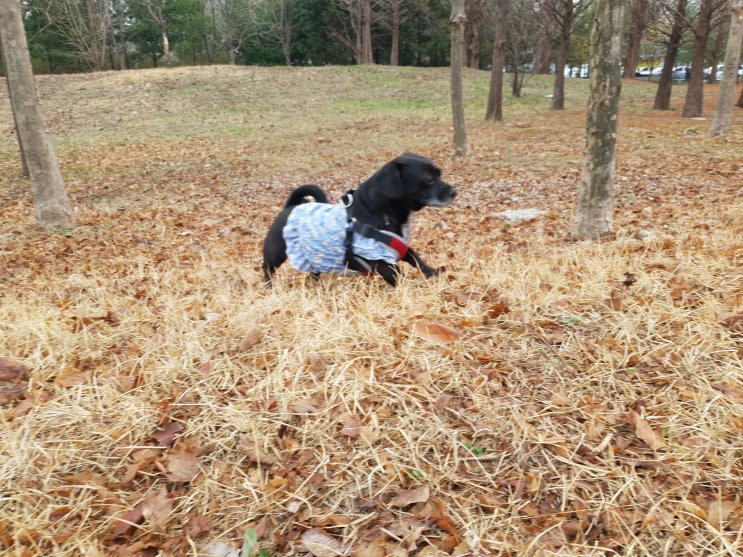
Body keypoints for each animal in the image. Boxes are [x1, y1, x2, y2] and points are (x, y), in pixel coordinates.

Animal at [262, 153, 460, 286]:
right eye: (429, 179)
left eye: (439, 174)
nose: (454, 191)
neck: (379, 211)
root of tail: (290, 207)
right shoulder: (380, 261)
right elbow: (398, 277)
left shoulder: (399, 247)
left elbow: (418, 260)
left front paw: (432, 274)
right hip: (275, 254)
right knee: (267, 269)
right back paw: (270, 287)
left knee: (313, 273)